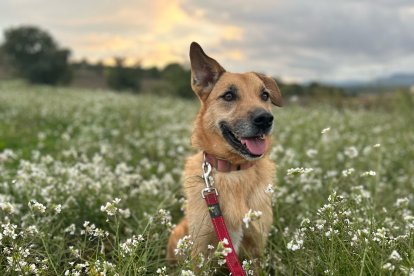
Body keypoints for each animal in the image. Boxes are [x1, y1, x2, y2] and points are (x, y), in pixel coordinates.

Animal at [167, 42, 284, 268]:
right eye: (228, 96)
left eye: (264, 95)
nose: (265, 119)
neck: (234, 170)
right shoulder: (201, 251)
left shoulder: (256, 248)